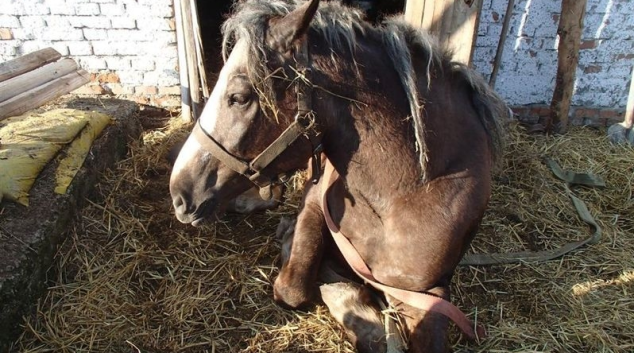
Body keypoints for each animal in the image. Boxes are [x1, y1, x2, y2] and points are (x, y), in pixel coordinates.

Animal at [168, 0, 504, 350]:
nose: (180, 193)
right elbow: (295, 287)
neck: (404, 193)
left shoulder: (427, 294)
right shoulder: (316, 202)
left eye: (239, 97)